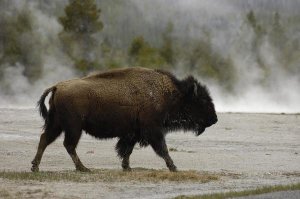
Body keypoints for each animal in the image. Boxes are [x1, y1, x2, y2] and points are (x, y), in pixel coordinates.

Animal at [31, 67, 217, 173]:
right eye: (202, 100)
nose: (215, 119)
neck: (170, 94)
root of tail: (57, 86)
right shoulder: (153, 130)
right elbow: (162, 149)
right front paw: (174, 167)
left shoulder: (133, 133)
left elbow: (128, 150)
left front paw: (127, 167)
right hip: (73, 127)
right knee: (68, 145)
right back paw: (83, 168)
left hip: (57, 125)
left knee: (45, 139)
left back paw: (35, 167)